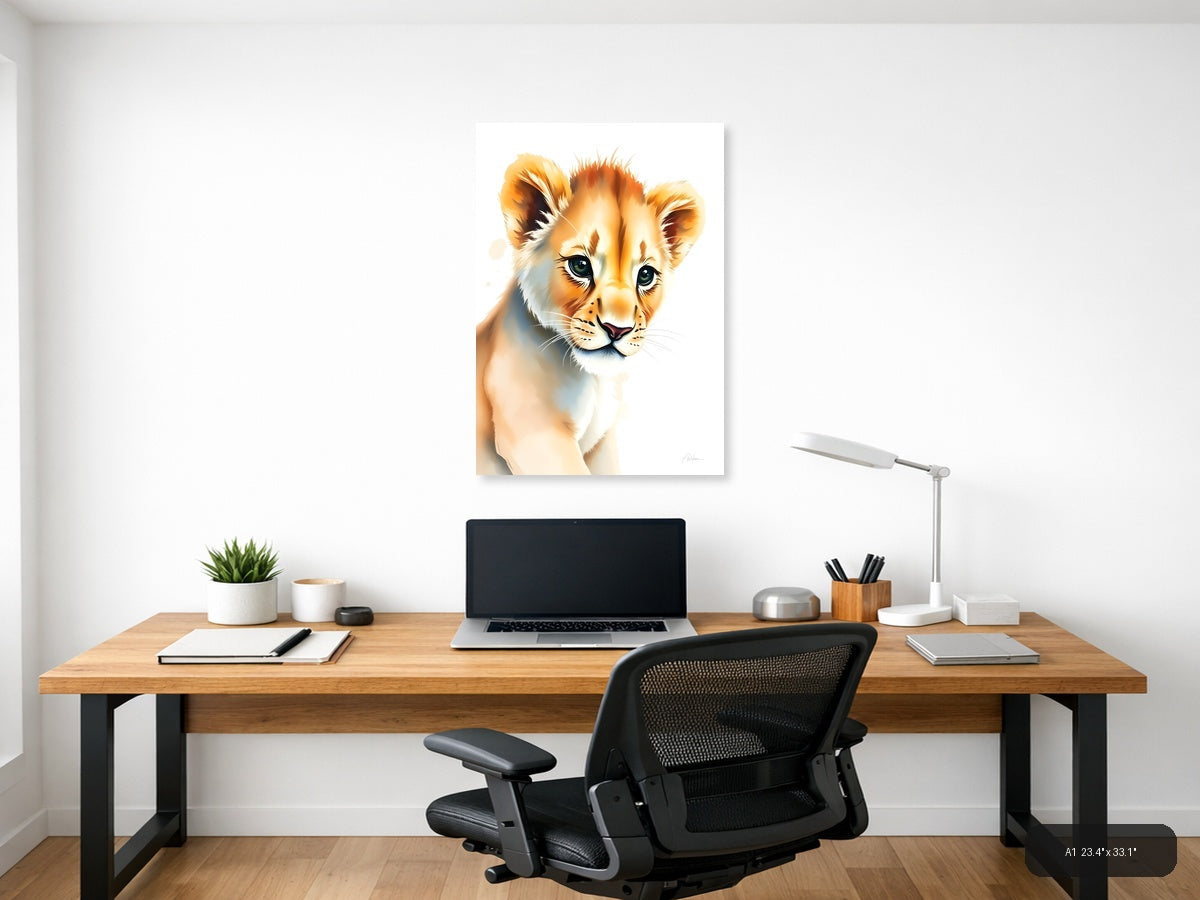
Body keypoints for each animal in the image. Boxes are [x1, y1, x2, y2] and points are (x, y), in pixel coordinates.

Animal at [476, 154, 705, 475]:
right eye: (580, 266)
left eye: (645, 275)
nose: (617, 330)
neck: (593, 382)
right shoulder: (534, 434)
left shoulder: (601, 446)